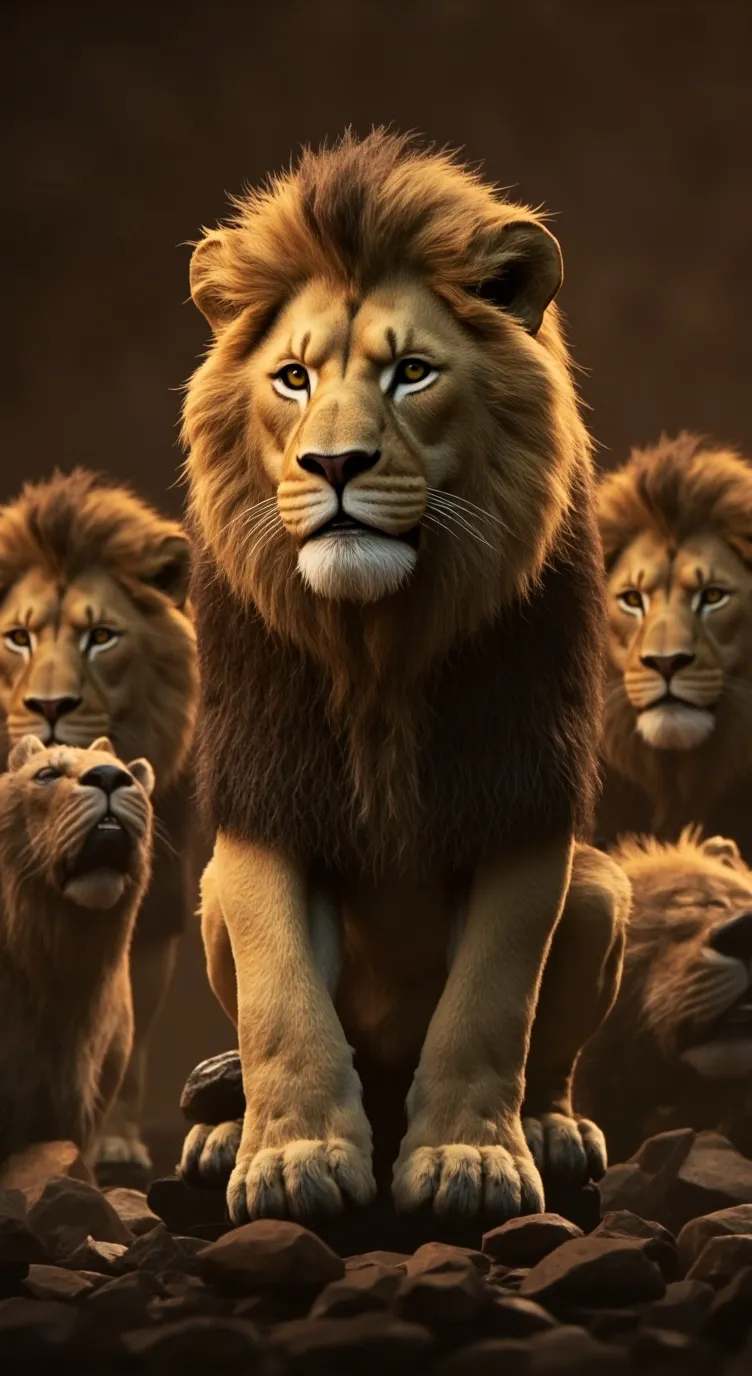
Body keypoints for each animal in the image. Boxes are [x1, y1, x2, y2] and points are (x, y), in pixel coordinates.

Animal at [178, 128, 631, 1226]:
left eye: (412, 373)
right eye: (293, 377)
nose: (335, 463)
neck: (376, 643)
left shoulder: (521, 793)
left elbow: (488, 1005)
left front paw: (472, 1159)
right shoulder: (262, 795)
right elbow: (280, 1000)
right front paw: (289, 1157)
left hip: (601, 886)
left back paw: (552, 1129)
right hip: (205, 894)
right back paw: (219, 1133)